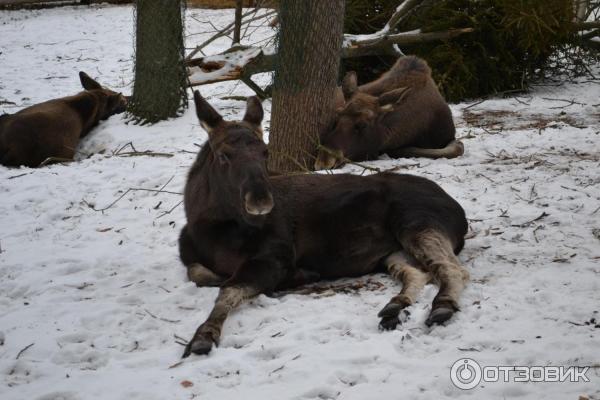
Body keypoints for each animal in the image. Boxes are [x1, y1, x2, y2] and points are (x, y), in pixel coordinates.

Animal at [180, 90, 472, 356]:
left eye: (265, 152)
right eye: (223, 154)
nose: (260, 199)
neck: (209, 228)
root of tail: (460, 211)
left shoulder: (276, 255)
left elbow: (226, 289)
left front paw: (203, 337)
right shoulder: (193, 258)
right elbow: (198, 273)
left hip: (417, 222)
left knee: (453, 268)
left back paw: (442, 305)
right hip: (393, 251)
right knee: (418, 273)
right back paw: (395, 306)